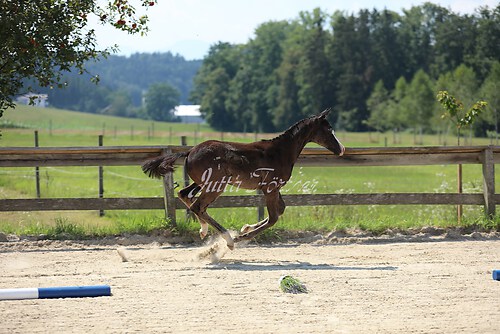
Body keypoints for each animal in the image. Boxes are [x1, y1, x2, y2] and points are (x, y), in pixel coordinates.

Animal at [141, 108, 344, 249]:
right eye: (329, 129)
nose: (341, 149)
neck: (280, 152)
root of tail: (190, 151)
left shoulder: (273, 188)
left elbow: (281, 210)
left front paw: (245, 227)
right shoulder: (270, 188)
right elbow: (274, 217)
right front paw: (242, 236)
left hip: (203, 183)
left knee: (186, 195)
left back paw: (204, 230)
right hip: (216, 185)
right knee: (198, 206)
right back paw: (229, 240)